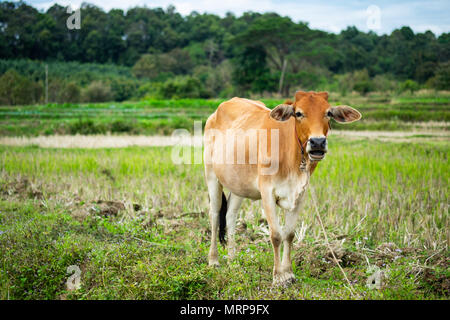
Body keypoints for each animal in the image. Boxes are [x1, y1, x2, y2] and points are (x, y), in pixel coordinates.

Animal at [205, 91, 362, 286]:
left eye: (328, 113)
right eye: (299, 113)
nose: (317, 142)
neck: (292, 157)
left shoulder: (299, 195)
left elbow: (289, 234)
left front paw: (288, 273)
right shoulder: (267, 193)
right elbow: (276, 235)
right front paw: (278, 276)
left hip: (238, 185)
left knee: (230, 215)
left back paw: (233, 260)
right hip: (211, 176)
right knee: (214, 216)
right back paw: (213, 260)